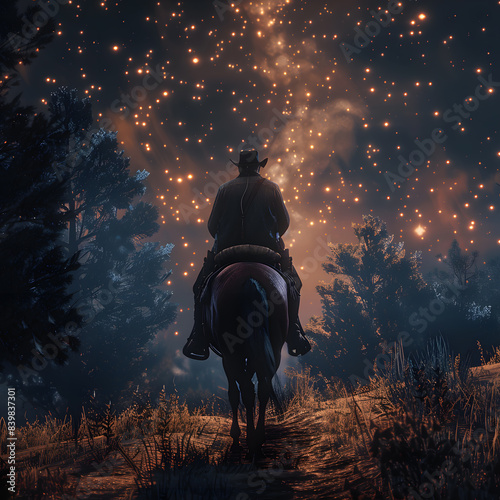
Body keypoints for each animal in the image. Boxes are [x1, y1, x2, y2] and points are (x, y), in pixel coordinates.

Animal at [203, 260, 290, 458]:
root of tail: (251, 280)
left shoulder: (228, 357)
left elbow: (234, 393)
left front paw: (236, 439)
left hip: (231, 354)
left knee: (246, 390)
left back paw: (250, 442)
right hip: (275, 349)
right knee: (263, 388)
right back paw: (258, 440)